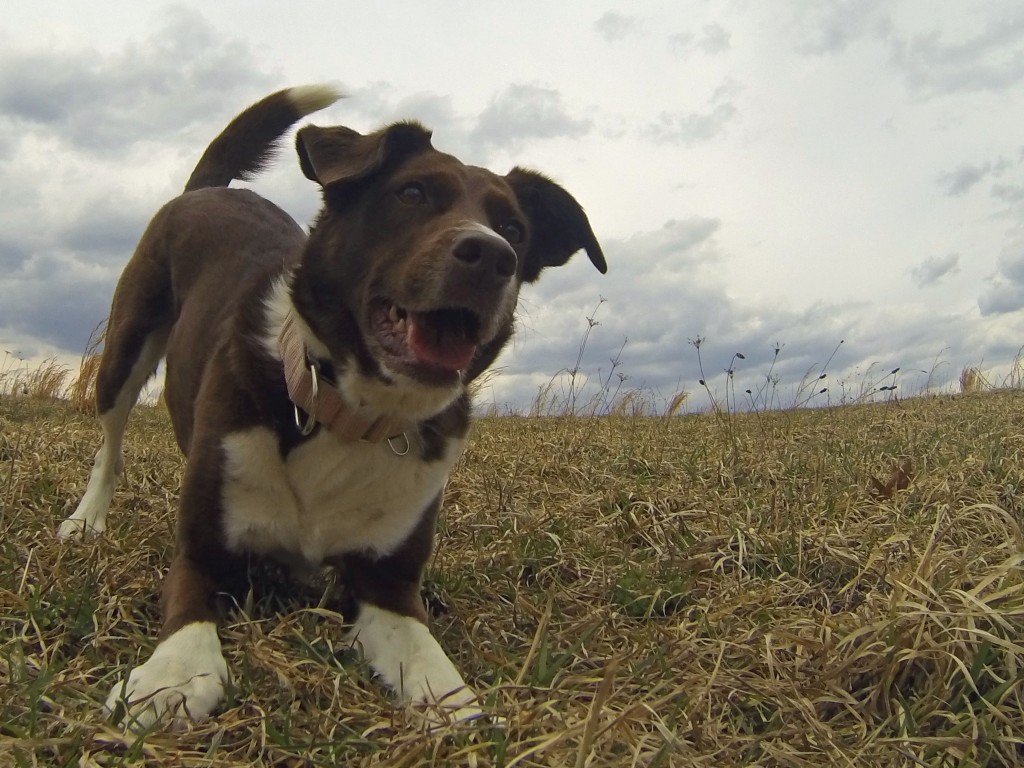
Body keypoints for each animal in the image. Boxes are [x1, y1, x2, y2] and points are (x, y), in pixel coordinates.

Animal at [59, 87, 602, 729]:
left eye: (515, 229)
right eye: (412, 194)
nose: (493, 255)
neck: (351, 412)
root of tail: (207, 190)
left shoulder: (388, 585)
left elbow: (433, 669)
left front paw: (459, 711)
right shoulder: (201, 552)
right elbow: (190, 617)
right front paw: (171, 679)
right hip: (126, 347)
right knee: (110, 443)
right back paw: (86, 519)